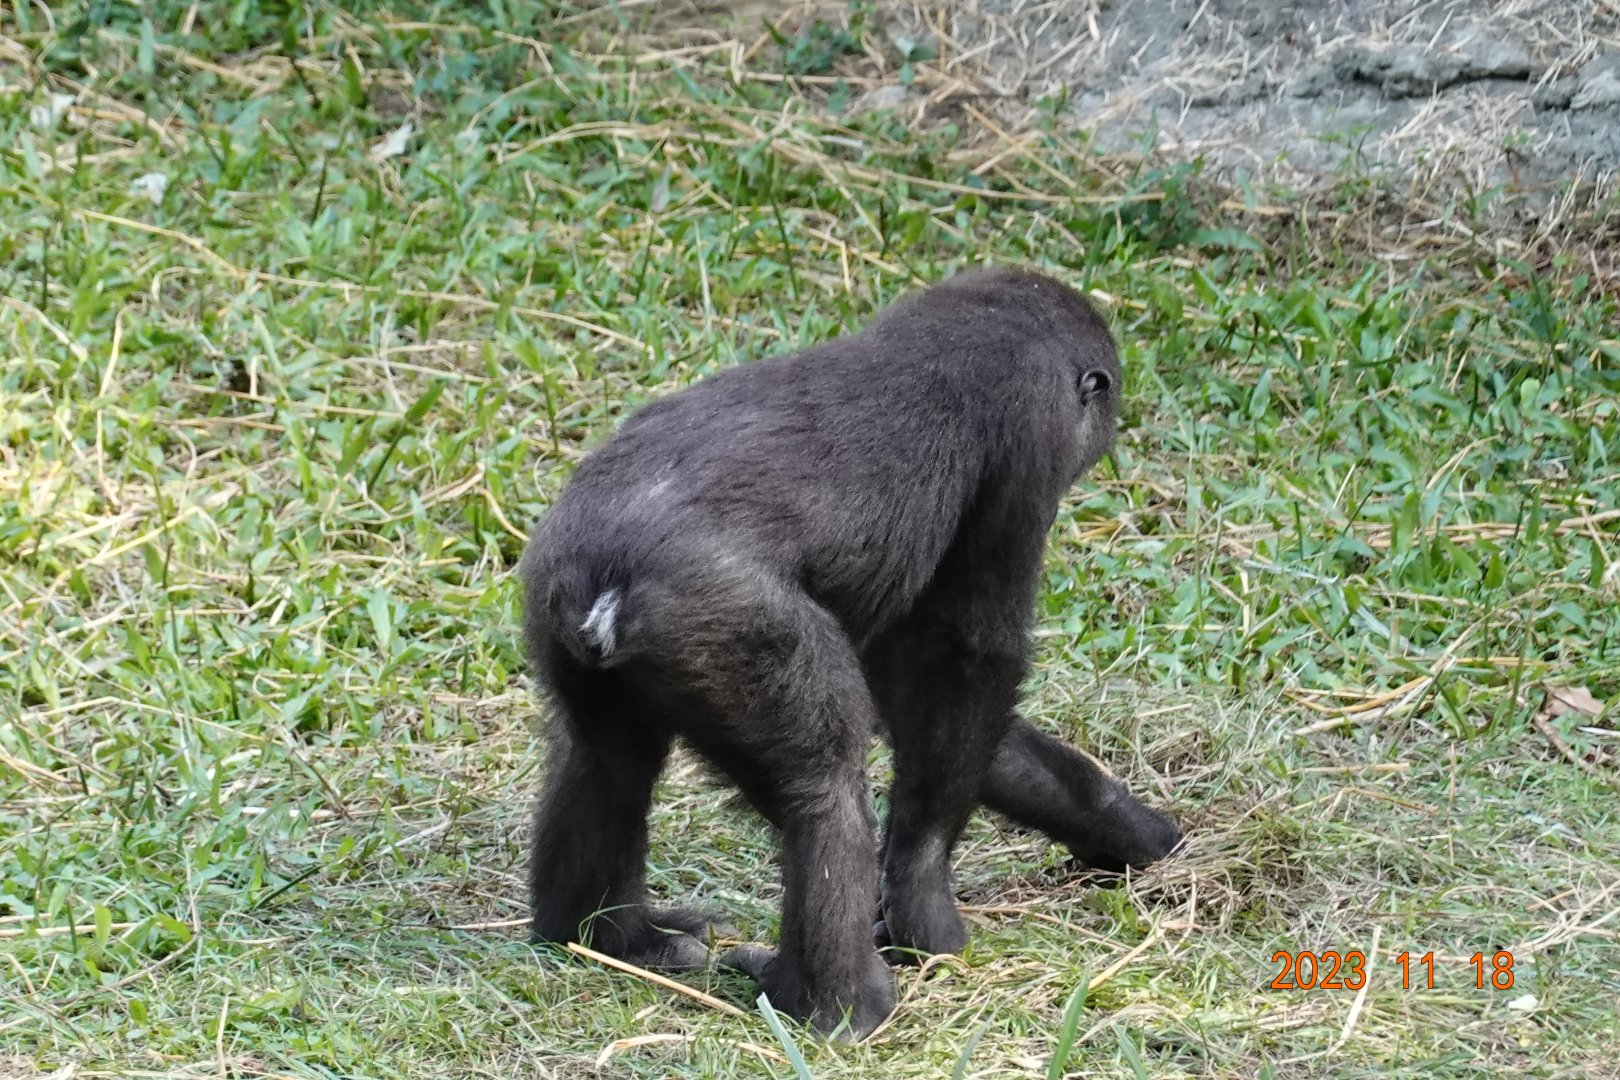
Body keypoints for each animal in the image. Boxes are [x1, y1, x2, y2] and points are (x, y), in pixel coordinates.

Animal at [519, 267, 1182, 1040]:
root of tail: (605, 581)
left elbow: (923, 698)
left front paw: (1116, 823)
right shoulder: (1030, 439)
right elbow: (967, 657)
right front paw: (925, 904)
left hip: (558, 595)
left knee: (606, 763)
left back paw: (611, 939)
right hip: (721, 622)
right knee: (823, 782)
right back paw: (841, 1005)